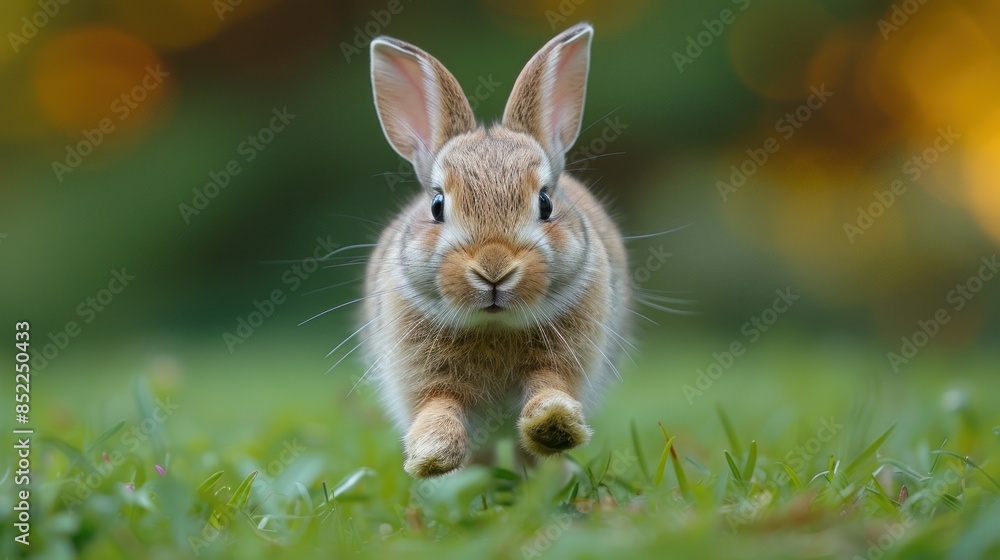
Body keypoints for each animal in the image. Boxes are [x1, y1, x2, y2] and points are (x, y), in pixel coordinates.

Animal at [363, 22, 630, 478]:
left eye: (545, 203)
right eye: (437, 205)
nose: (494, 268)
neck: (494, 325)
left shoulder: (562, 362)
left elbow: (548, 388)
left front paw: (555, 426)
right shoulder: (426, 378)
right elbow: (439, 407)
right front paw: (430, 455)